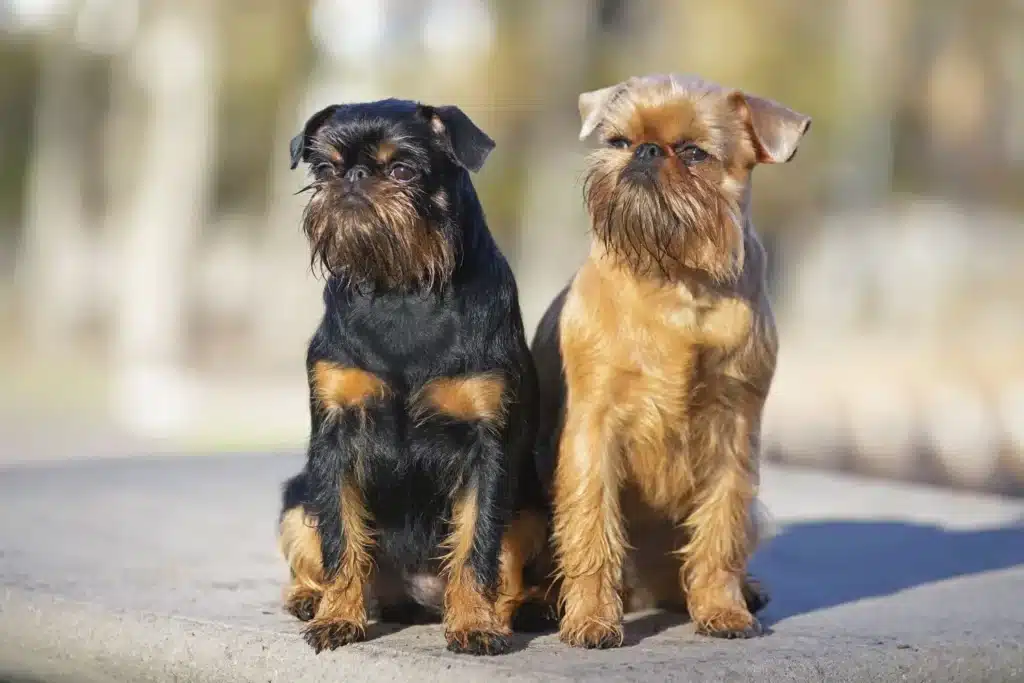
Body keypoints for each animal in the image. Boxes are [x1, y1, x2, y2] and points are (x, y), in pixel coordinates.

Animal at [276, 97, 548, 655]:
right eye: (325, 169)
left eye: (402, 169)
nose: (354, 176)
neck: (401, 289)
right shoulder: (334, 440)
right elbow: (341, 539)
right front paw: (339, 616)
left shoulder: (486, 447)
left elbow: (476, 544)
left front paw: (474, 623)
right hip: (296, 497)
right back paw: (311, 598)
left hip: (533, 510)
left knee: (509, 572)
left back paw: (520, 609)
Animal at [532, 72, 811, 651]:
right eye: (617, 141)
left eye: (693, 153)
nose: (645, 151)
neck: (676, 278)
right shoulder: (592, 431)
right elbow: (591, 526)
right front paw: (591, 619)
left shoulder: (734, 430)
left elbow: (721, 528)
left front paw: (722, 609)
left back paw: (739, 592)